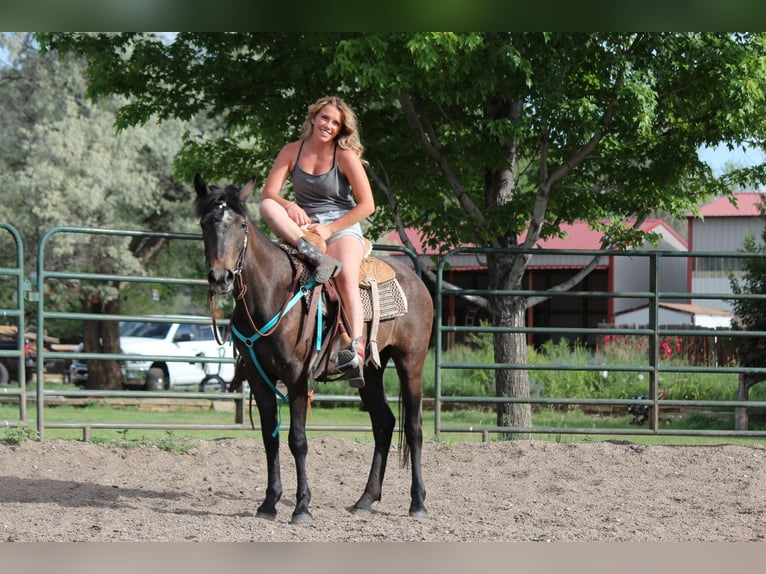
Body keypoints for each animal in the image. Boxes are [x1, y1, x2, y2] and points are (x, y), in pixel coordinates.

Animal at [193, 174, 433, 523]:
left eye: (241, 225)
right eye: (205, 223)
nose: (221, 277)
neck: (273, 292)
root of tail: (415, 280)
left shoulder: (296, 377)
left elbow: (298, 440)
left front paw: (302, 506)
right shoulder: (258, 377)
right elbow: (269, 437)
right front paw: (269, 503)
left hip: (410, 361)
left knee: (414, 427)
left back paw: (417, 503)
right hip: (369, 373)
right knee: (384, 423)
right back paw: (365, 499)